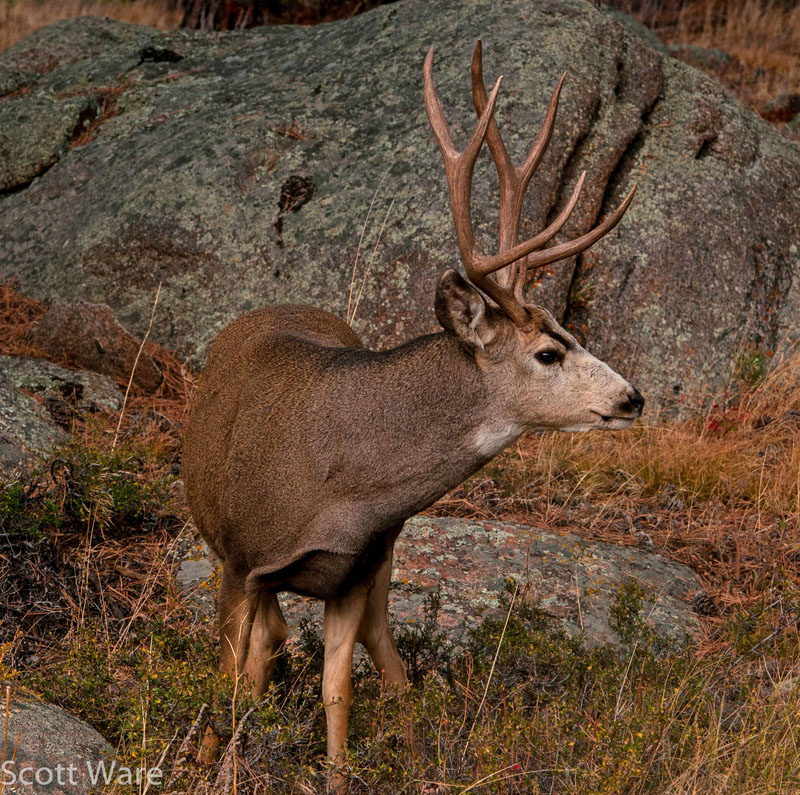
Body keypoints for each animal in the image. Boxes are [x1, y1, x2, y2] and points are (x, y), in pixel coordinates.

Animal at [183, 40, 644, 774]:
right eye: (549, 352)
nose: (632, 396)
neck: (340, 486)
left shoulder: (355, 570)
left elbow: (337, 689)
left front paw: (336, 774)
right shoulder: (238, 558)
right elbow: (226, 676)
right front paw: (206, 762)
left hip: (385, 561)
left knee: (373, 647)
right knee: (266, 644)